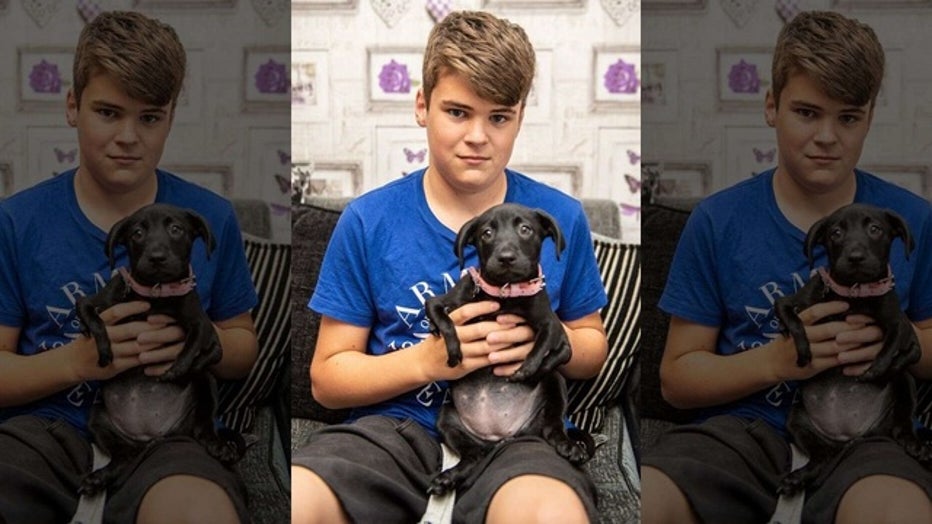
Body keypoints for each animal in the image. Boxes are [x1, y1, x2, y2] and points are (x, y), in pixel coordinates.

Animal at [75, 203, 240, 494]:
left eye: (176, 229)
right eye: (137, 233)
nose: (157, 257)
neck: (156, 293)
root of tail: (151, 437)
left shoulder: (201, 324)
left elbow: (194, 346)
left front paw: (176, 370)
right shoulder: (93, 302)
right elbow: (95, 320)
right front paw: (104, 350)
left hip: (206, 387)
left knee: (204, 427)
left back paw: (219, 446)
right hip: (97, 419)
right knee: (123, 458)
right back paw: (99, 477)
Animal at [426, 204, 592, 496]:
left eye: (525, 229)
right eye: (486, 233)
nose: (505, 258)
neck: (504, 295)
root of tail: (502, 437)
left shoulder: (550, 323)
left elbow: (546, 346)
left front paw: (527, 369)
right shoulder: (441, 301)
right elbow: (445, 319)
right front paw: (454, 349)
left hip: (555, 388)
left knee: (553, 427)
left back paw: (568, 446)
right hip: (447, 419)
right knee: (473, 456)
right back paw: (448, 477)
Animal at [772, 203, 932, 494]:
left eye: (875, 229)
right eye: (835, 233)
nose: (855, 257)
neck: (854, 294)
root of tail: (851, 438)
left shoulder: (898, 323)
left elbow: (891, 347)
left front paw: (874, 371)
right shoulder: (790, 302)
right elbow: (796, 320)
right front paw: (802, 350)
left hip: (905, 384)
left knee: (902, 423)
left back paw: (915, 444)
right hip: (797, 420)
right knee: (822, 458)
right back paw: (796, 477)